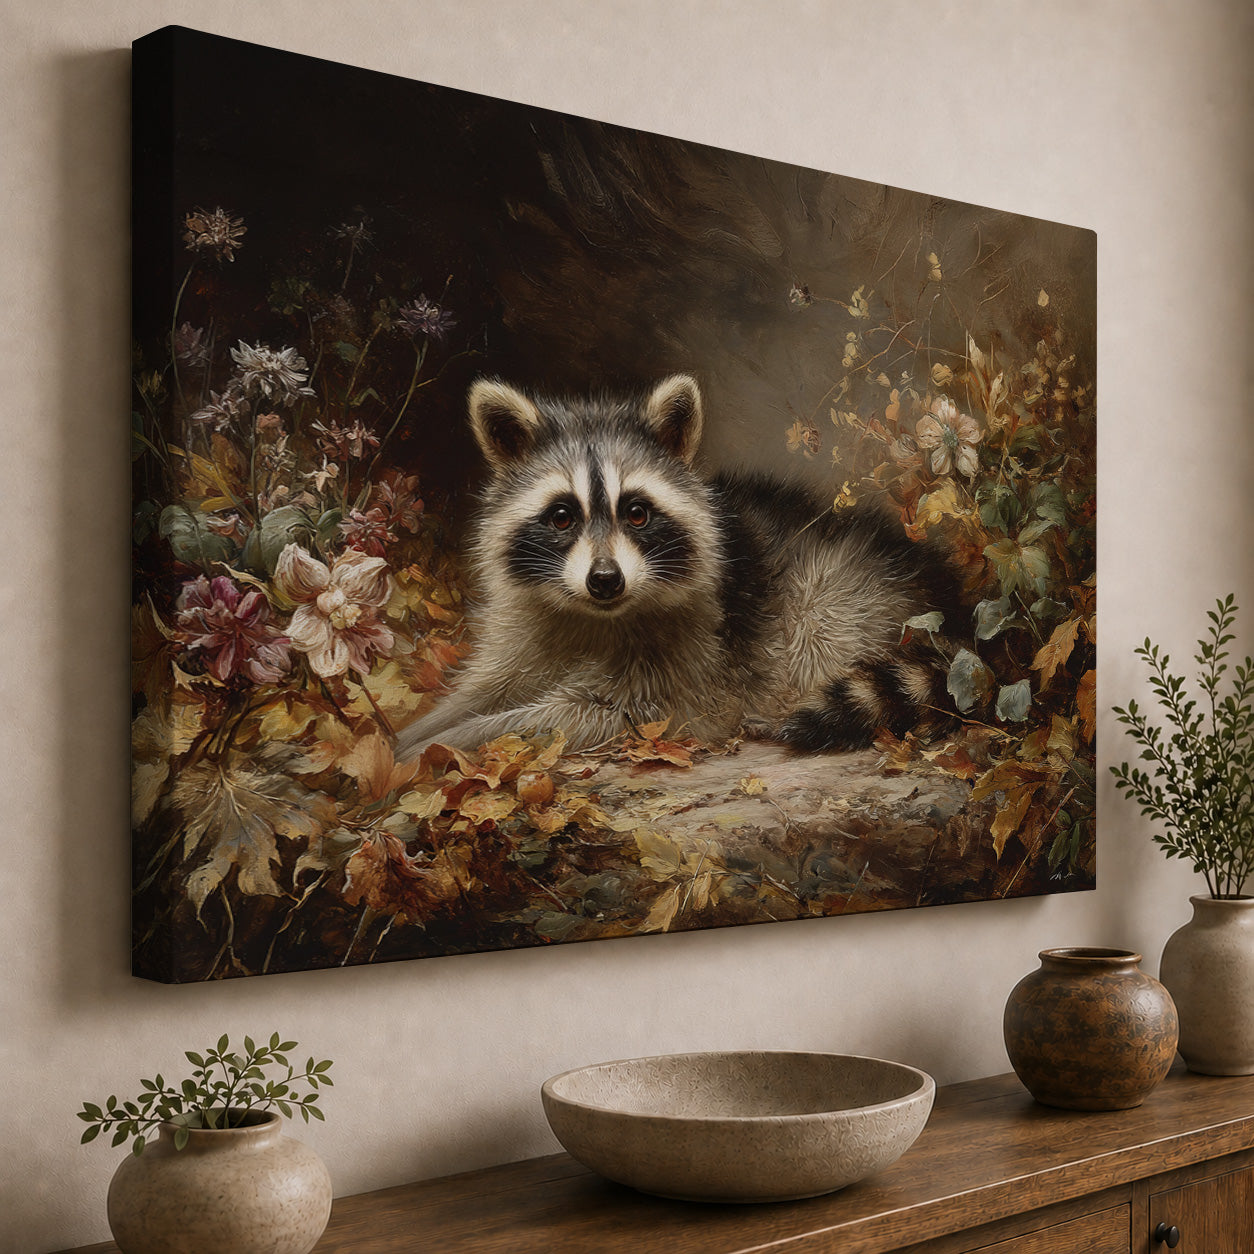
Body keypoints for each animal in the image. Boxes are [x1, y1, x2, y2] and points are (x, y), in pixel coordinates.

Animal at [394, 374, 961, 758]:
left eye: (636, 513)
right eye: (561, 516)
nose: (605, 580)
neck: (590, 615)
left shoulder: (684, 667)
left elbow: (576, 713)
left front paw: (445, 744)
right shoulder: (523, 629)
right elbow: (479, 691)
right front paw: (408, 735)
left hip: (840, 591)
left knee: (816, 629)